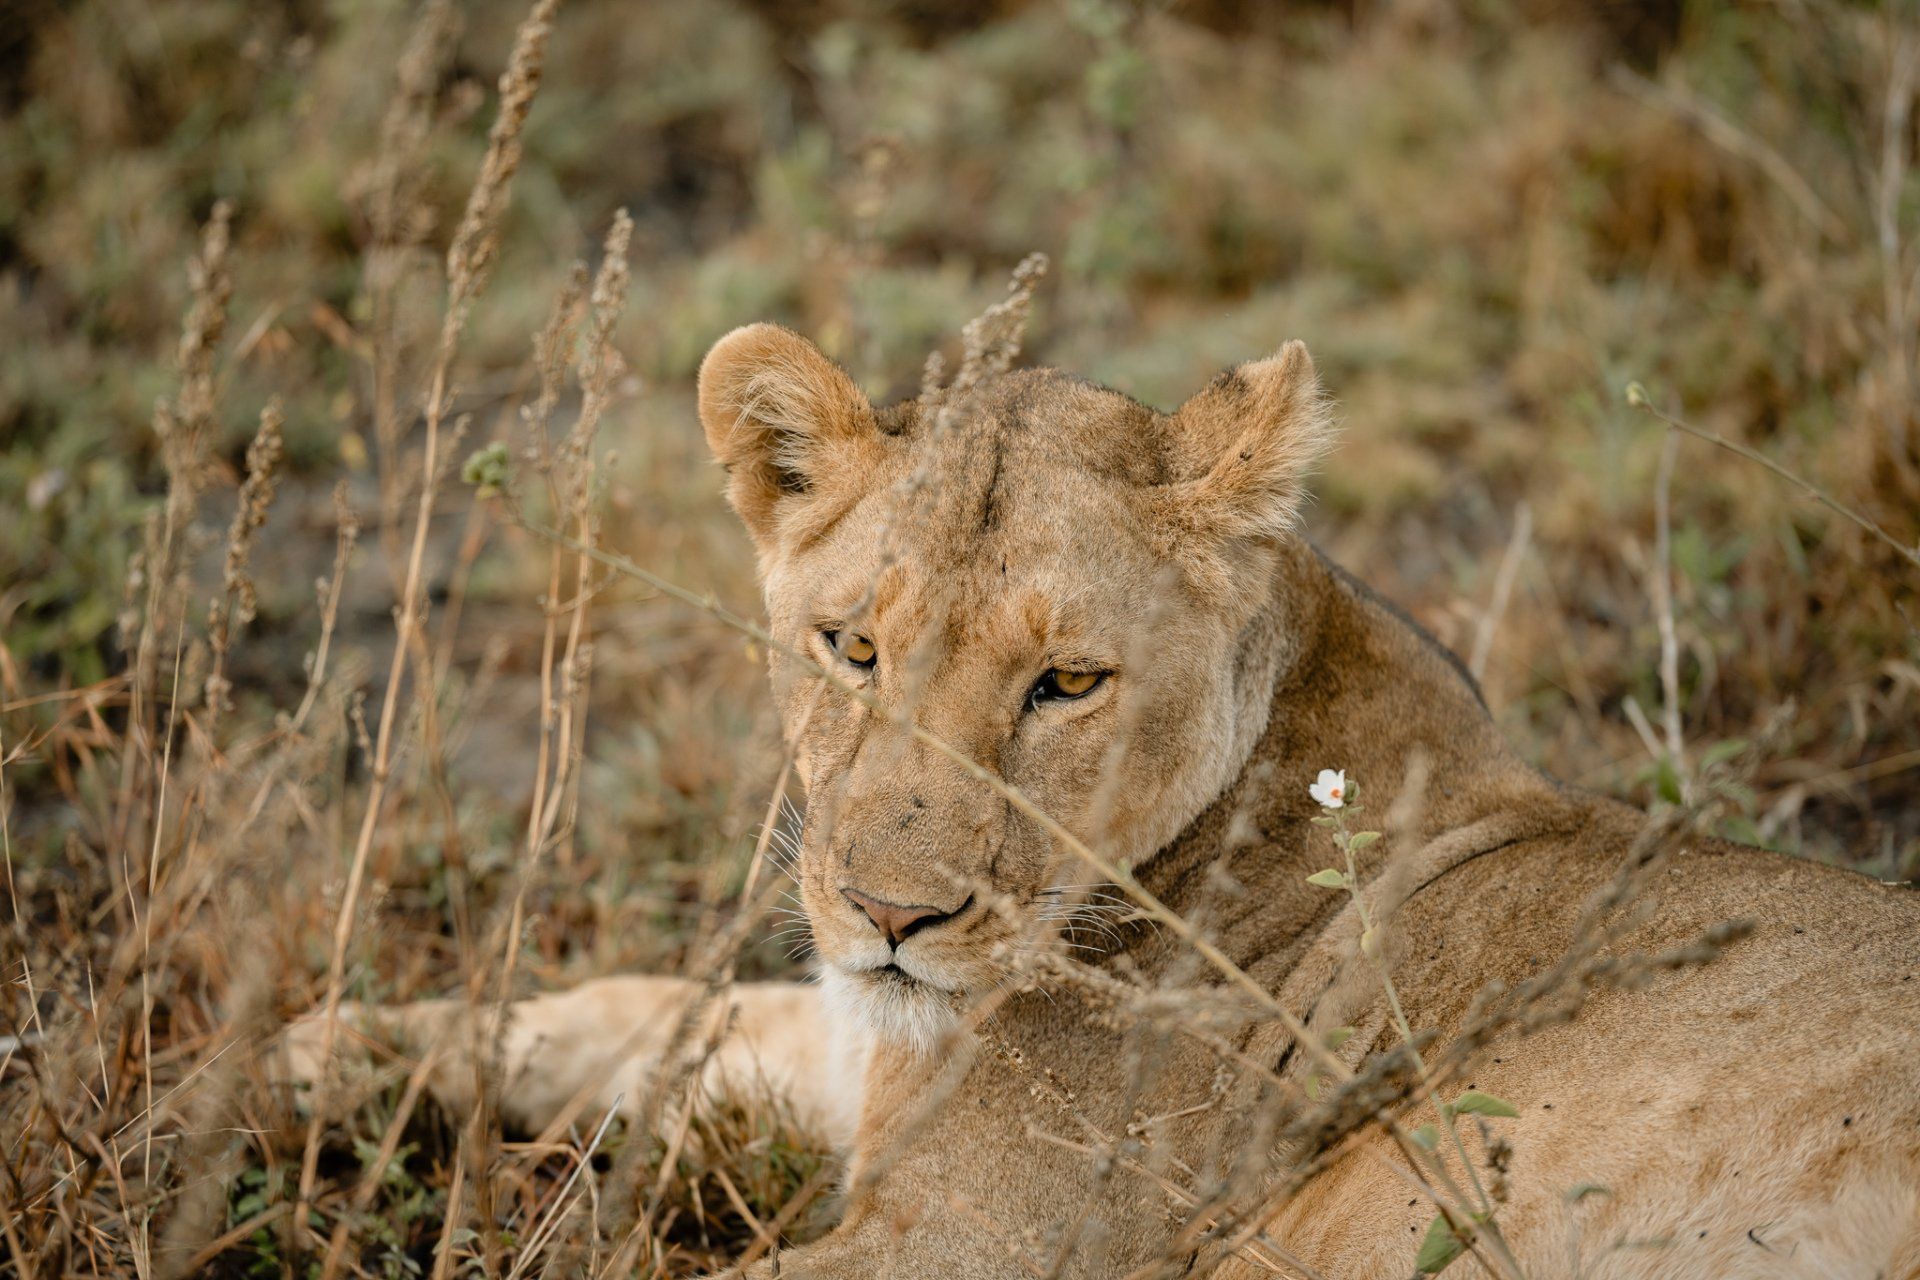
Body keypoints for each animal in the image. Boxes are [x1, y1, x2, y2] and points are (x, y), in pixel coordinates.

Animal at [288, 325, 1920, 1278]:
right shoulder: (870, 1041)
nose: (890, 913)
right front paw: (317, 1054)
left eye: (1065, 683)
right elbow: (629, 1017)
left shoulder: (966, 1249)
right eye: (851, 647)